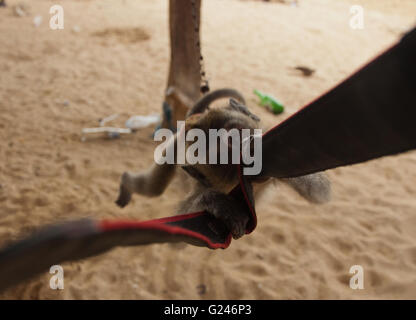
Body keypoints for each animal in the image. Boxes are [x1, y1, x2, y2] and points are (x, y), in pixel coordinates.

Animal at [115, 89, 330, 239]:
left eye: (236, 134)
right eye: (222, 158)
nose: (246, 154)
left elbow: (320, 192)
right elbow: (180, 232)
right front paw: (217, 203)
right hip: (173, 147)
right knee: (155, 187)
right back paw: (125, 182)